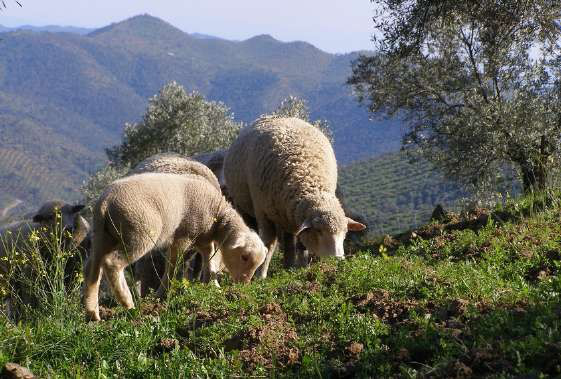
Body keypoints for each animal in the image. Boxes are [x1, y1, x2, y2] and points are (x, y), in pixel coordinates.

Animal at [83, 174, 266, 322]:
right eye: (244, 257)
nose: (244, 284)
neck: (217, 214)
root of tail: (105, 202)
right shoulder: (184, 235)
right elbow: (173, 265)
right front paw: (161, 294)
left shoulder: (203, 237)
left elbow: (209, 260)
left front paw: (214, 286)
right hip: (138, 233)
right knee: (112, 263)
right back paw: (128, 304)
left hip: (102, 235)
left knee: (92, 268)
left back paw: (92, 312)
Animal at [223, 116, 368, 280]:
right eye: (319, 231)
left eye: (345, 233)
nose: (337, 260)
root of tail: (275, 116)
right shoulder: (264, 213)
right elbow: (269, 244)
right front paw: (261, 275)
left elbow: (301, 244)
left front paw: (302, 268)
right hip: (245, 206)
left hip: (286, 214)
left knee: (290, 240)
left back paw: (289, 266)